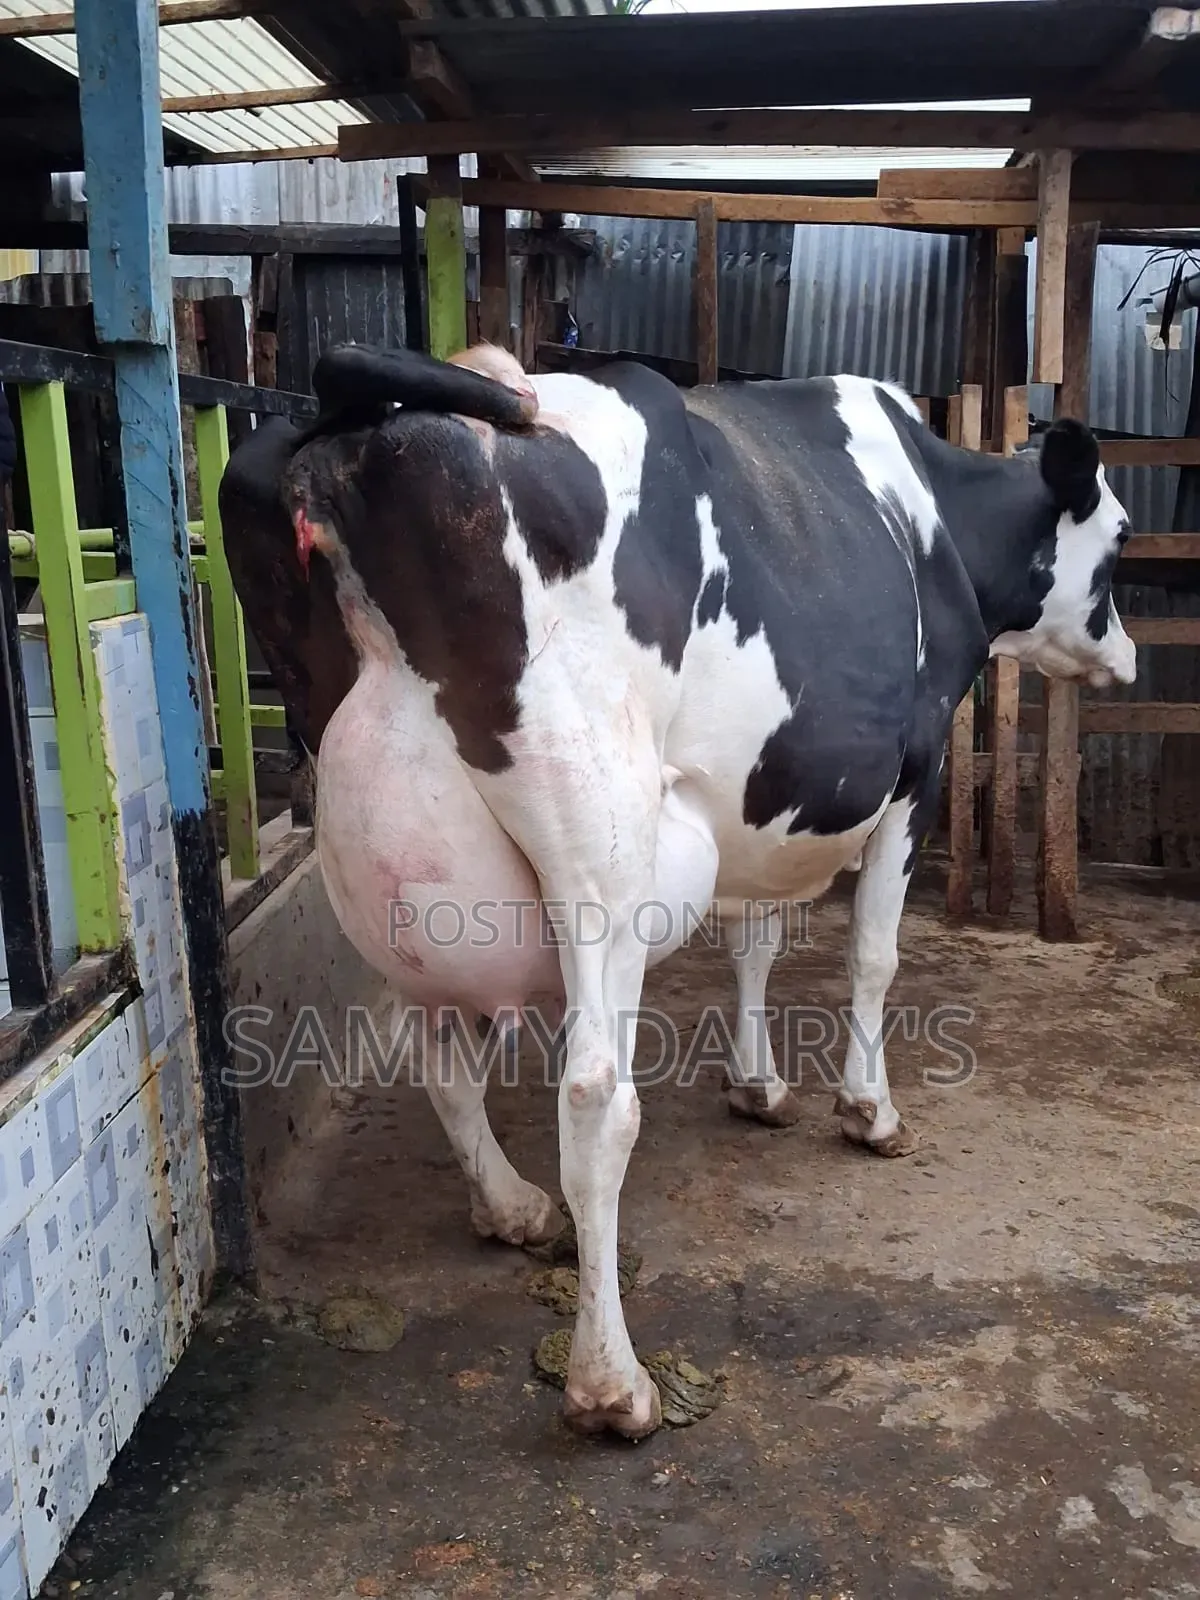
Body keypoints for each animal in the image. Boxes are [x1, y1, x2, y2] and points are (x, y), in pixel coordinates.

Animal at [219, 341, 1136, 1442]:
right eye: (1119, 541)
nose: (1131, 657)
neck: (935, 513)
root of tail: (374, 420)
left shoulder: (764, 796)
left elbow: (755, 944)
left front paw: (757, 1085)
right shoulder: (916, 776)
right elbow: (873, 958)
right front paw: (868, 1112)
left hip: (389, 857)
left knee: (438, 1055)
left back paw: (511, 1209)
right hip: (597, 842)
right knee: (593, 1100)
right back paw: (612, 1383)